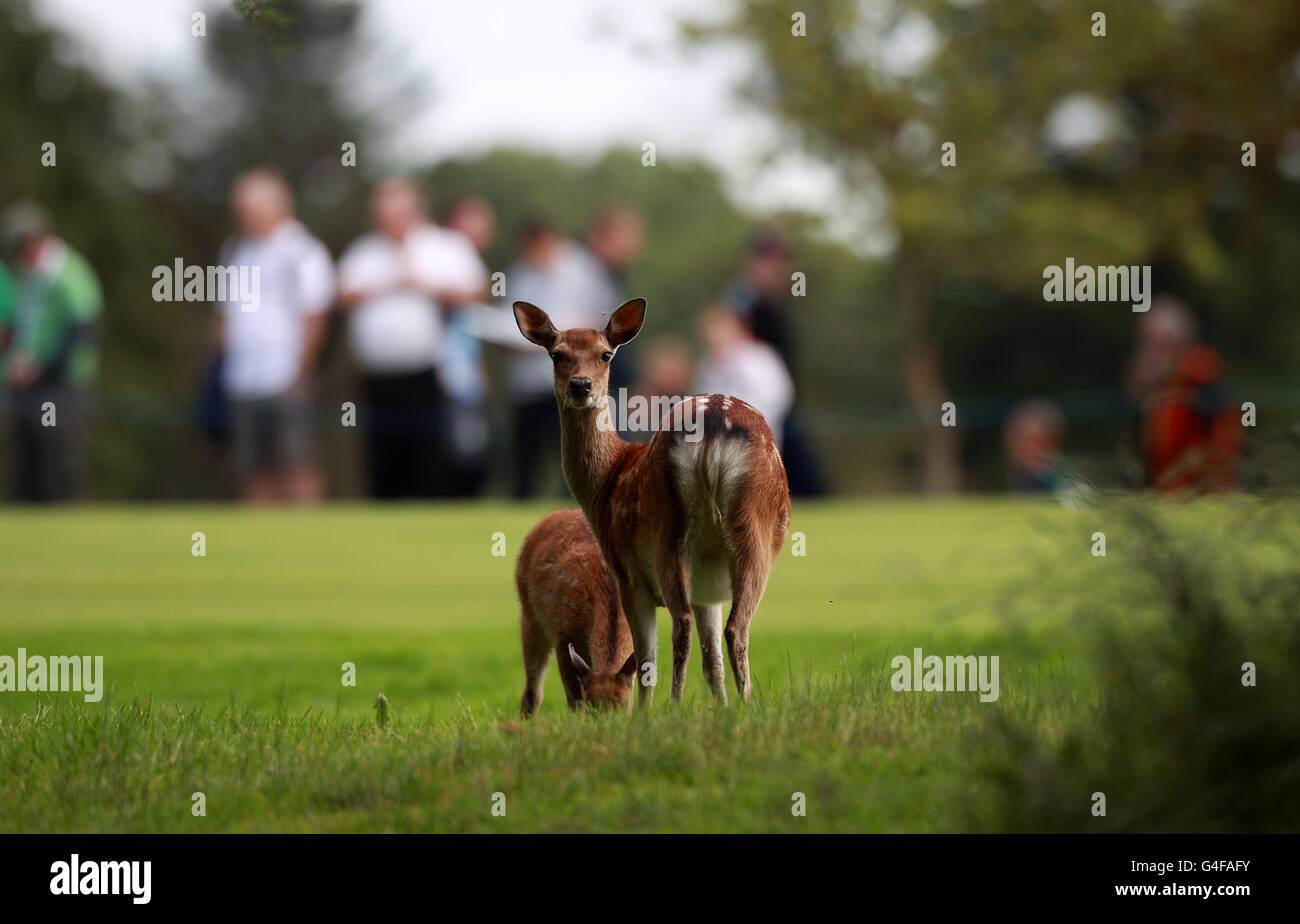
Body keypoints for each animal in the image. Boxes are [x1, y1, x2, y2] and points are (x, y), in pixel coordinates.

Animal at [512, 300, 785, 706]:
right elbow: (712, 664)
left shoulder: (628, 576)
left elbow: (645, 661)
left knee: (682, 625)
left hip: (667, 531)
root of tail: (713, 429)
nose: (580, 385)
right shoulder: (707, 591)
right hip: (749, 531)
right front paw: (723, 709)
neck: (608, 480)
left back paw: (675, 706)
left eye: (605, 354)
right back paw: (745, 705)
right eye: (557, 354)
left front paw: (642, 713)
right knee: (733, 627)